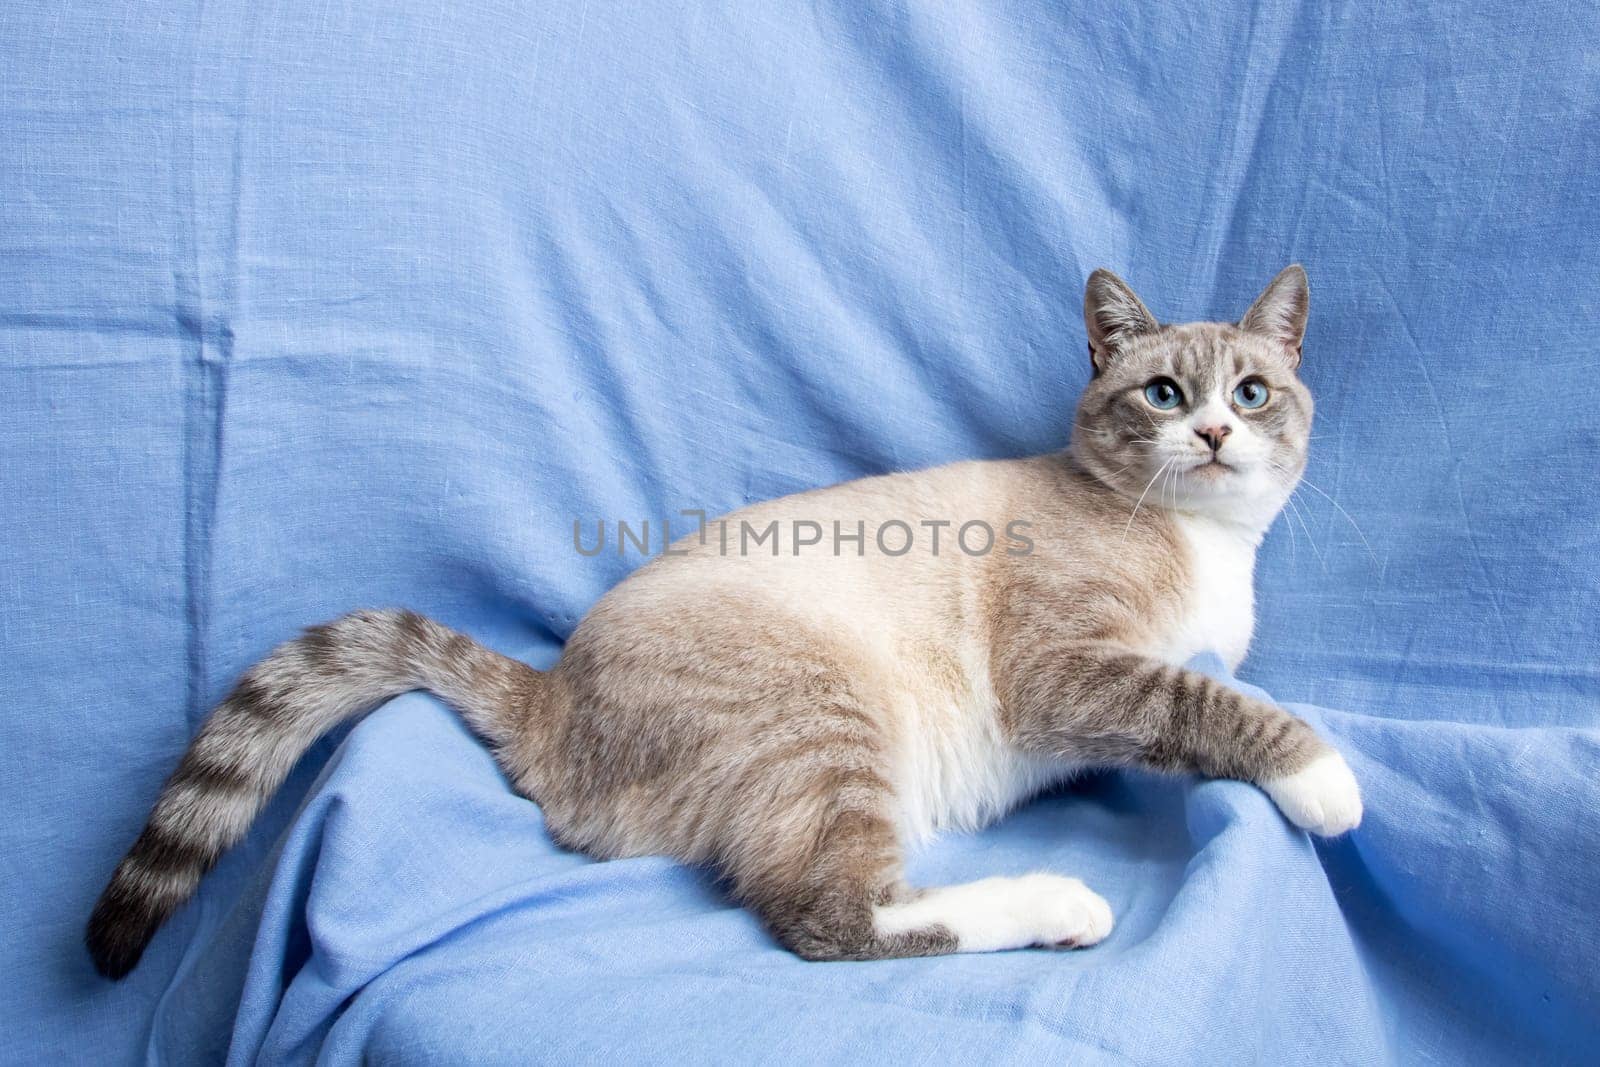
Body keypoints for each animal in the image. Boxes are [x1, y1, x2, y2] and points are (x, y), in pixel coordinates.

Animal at [87, 265, 1363, 979]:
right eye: (1164, 394)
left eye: (1252, 394)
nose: (1214, 433)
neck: (1205, 543)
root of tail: (549, 692)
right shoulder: (1072, 672)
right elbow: (1216, 704)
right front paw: (1325, 780)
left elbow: (1210, 689)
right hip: (830, 715)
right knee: (830, 915)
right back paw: (1054, 902)